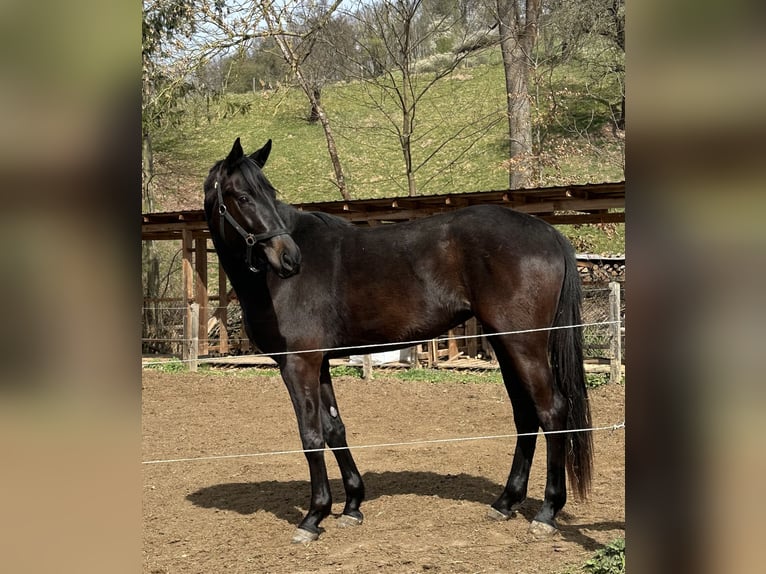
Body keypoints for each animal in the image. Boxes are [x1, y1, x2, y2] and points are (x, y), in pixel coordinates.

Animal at [204, 138, 592, 544]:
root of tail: (548, 233)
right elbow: (334, 428)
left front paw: (313, 516)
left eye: (269, 193)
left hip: (524, 345)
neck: (270, 281)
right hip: (504, 344)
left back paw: (547, 512)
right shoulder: (320, 362)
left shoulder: (299, 362)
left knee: (552, 412)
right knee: (525, 415)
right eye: (244, 196)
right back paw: (505, 502)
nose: (290, 258)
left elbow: (311, 435)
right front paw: (351, 505)